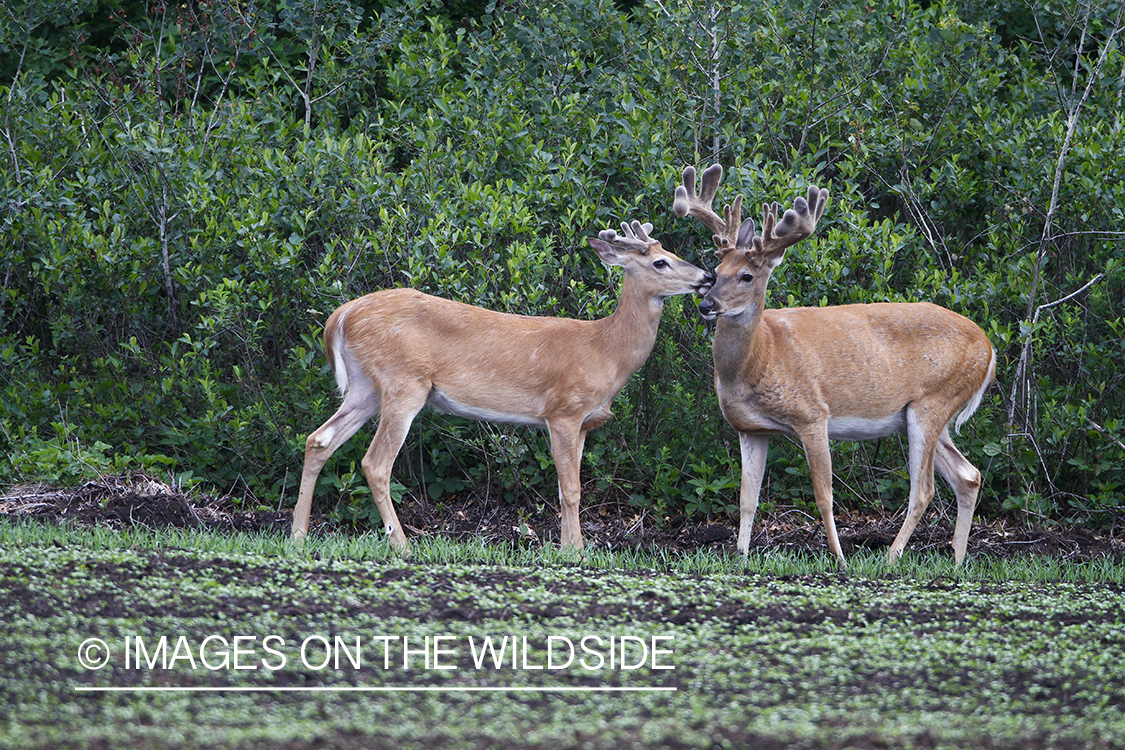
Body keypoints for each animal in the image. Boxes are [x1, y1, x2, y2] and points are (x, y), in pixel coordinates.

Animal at [290, 220, 711, 555]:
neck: (606, 350)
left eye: (671, 253)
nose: (706, 278)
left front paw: (567, 546)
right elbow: (572, 488)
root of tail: (340, 316)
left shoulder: (584, 423)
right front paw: (576, 553)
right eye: (660, 262)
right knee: (375, 463)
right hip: (403, 383)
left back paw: (298, 535)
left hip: (366, 387)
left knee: (319, 439)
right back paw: (403, 545)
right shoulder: (562, 411)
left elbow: (566, 488)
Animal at [670, 164, 999, 562]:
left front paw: (839, 556)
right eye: (716, 271)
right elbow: (747, 498)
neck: (760, 357)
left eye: (747, 275)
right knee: (968, 475)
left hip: (933, 401)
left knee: (924, 489)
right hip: (925, 416)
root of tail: (989, 348)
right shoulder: (750, 429)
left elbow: (824, 496)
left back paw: (891, 555)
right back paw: (957, 559)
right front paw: (741, 555)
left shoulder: (813, 415)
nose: (707, 304)